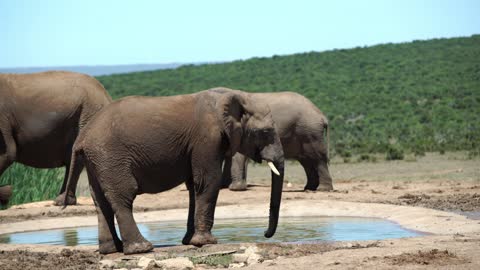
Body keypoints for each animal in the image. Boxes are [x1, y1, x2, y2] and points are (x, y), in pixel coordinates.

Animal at [61, 88, 284, 255]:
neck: (232, 97)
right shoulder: (207, 139)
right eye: (266, 132)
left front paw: (189, 241)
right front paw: (206, 242)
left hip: (95, 160)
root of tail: (82, 138)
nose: (265, 233)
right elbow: (208, 181)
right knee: (122, 196)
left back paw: (111, 250)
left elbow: (194, 186)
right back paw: (142, 248)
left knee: (100, 202)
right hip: (110, 156)